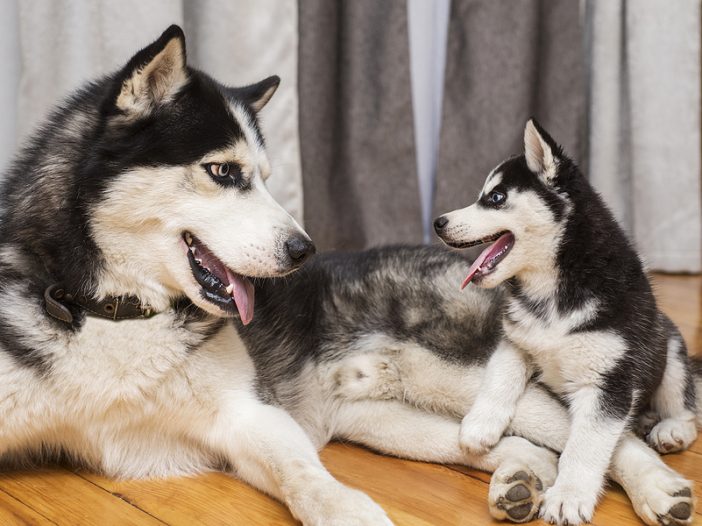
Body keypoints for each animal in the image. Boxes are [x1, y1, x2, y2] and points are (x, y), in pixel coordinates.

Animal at [428, 121, 700, 524]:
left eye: (495, 198)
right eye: (484, 196)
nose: (438, 223)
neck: (552, 291)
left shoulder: (608, 382)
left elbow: (584, 446)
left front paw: (569, 495)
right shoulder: (517, 340)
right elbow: (500, 378)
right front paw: (481, 424)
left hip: (668, 346)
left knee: (685, 404)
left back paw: (672, 429)